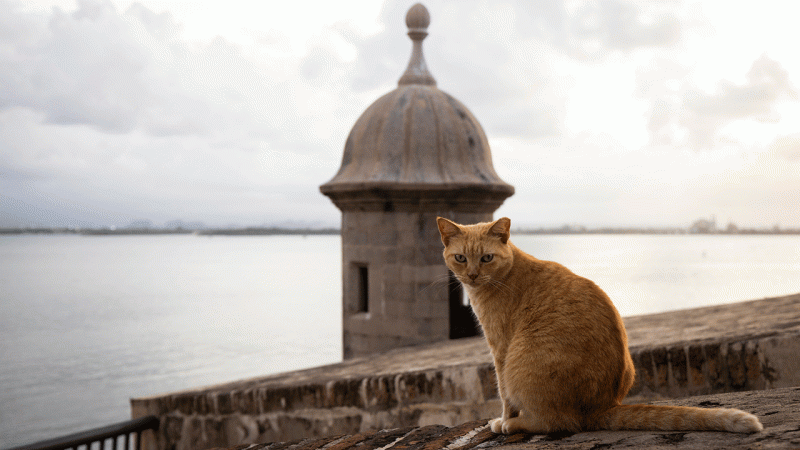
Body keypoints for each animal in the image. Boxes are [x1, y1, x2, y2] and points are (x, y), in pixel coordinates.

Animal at [438, 216, 764, 434]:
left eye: (487, 258)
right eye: (460, 258)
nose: (472, 275)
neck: (504, 275)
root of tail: (602, 407)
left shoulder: (500, 349)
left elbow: (504, 393)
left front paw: (503, 419)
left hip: (521, 364)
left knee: (558, 423)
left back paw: (513, 425)